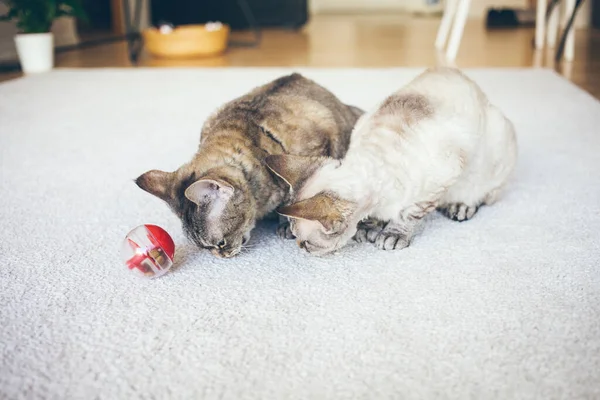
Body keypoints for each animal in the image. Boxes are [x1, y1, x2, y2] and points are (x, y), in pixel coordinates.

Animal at [264, 67, 516, 255]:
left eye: (306, 244)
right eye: (297, 239)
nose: (298, 246)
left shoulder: (440, 180)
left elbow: (408, 214)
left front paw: (391, 234)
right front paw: (369, 228)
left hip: (494, 151)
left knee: (485, 193)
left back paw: (460, 206)